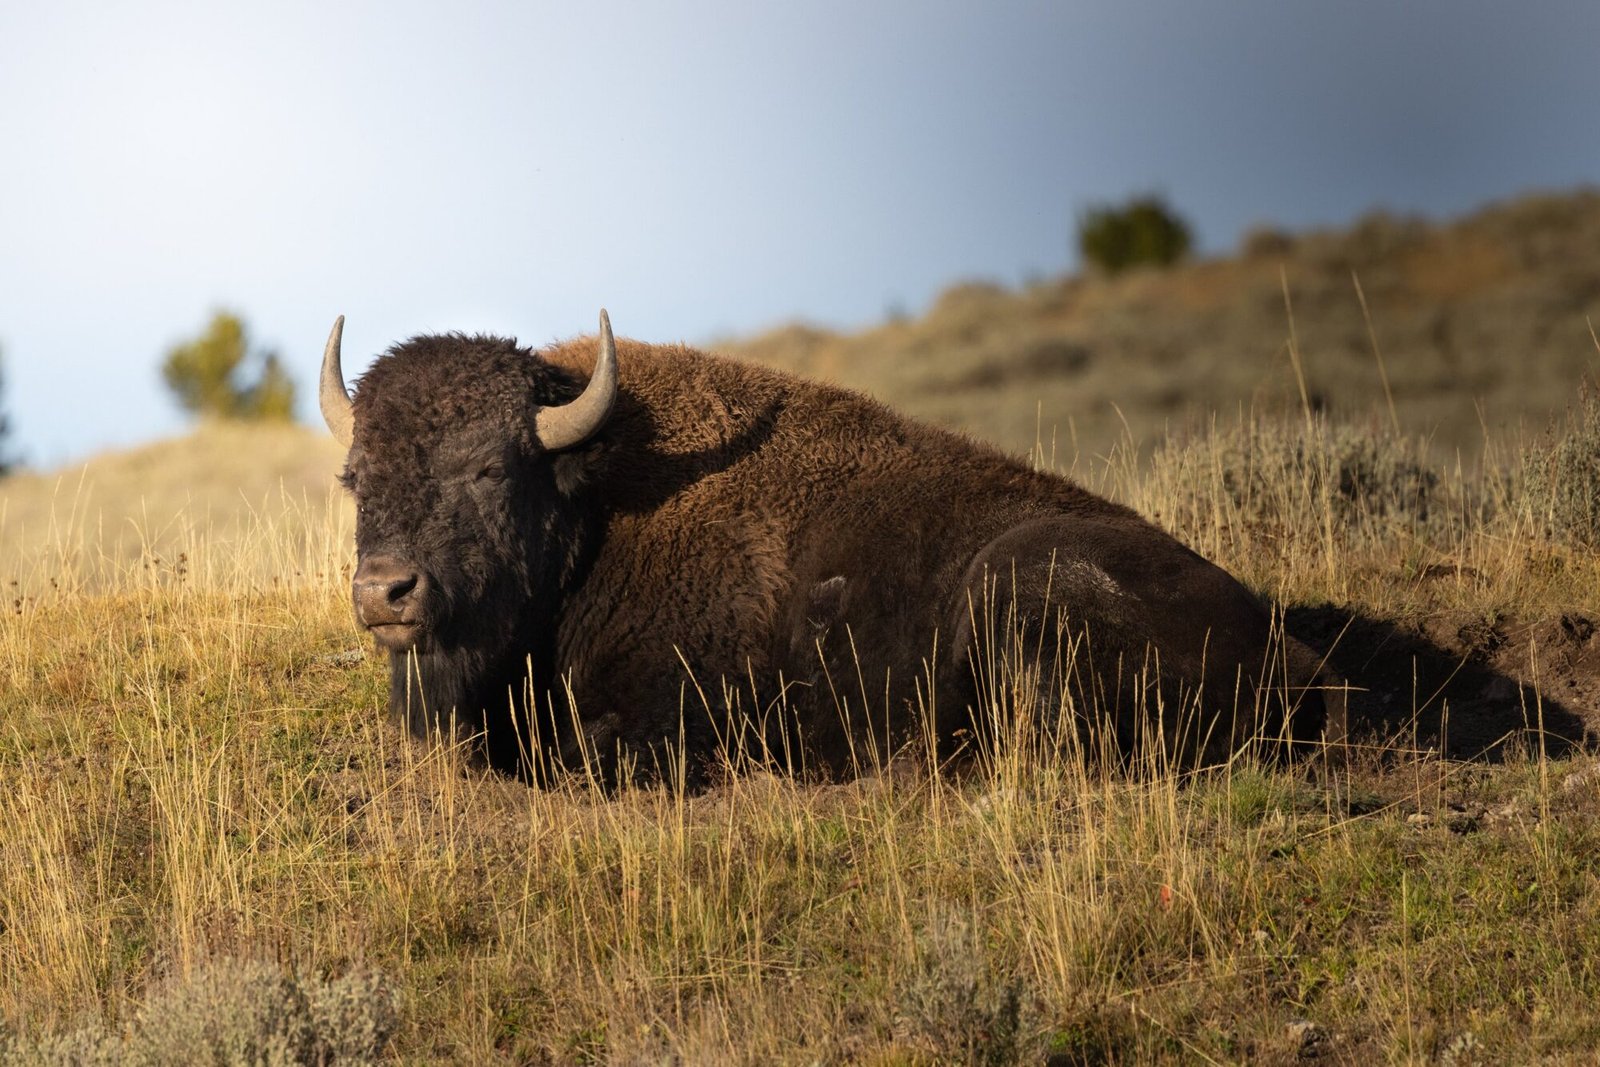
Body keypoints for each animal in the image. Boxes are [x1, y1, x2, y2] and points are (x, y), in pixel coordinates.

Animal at [320, 311, 1341, 784]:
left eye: (490, 469)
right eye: (355, 477)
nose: (386, 592)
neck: (596, 502)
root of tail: (1296, 657)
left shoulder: (671, 713)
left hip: (1016, 582)